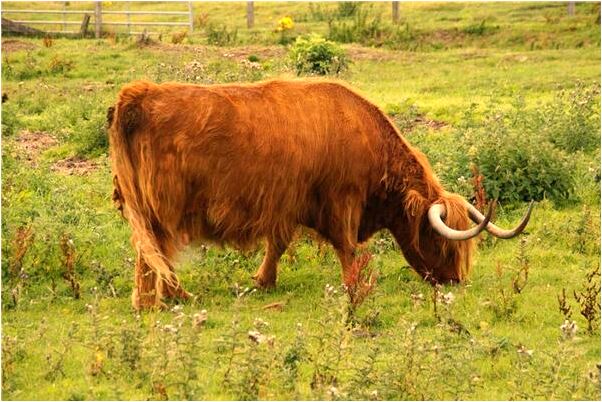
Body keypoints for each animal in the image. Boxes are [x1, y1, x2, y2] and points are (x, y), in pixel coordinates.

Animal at [108, 79, 528, 310]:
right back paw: (169, 297)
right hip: (161, 209)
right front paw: (353, 285)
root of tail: (138, 93)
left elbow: (277, 244)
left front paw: (264, 281)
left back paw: (151, 300)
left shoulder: (287, 206)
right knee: (155, 252)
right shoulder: (342, 200)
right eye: (439, 241)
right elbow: (346, 246)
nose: (455, 280)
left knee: (149, 252)